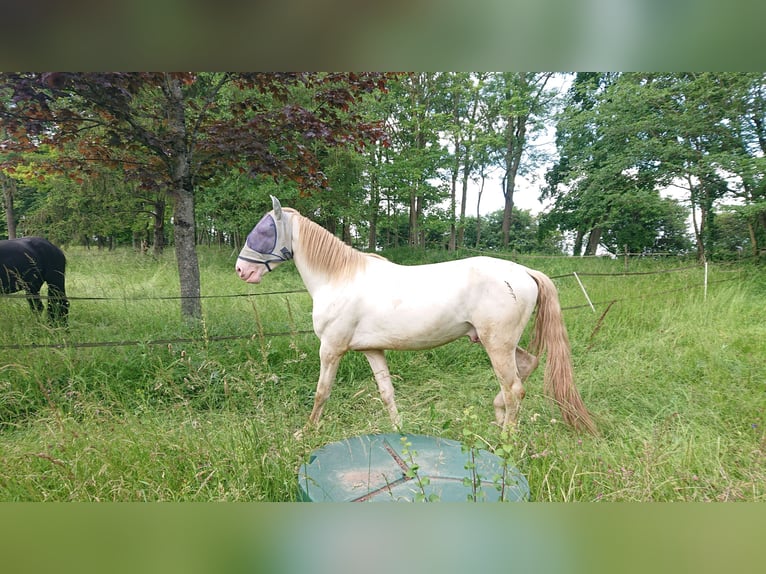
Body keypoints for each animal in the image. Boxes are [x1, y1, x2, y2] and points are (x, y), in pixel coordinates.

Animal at [237, 196, 596, 434]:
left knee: (515, 389)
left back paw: (506, 439)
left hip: (497, 344)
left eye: (263, 231)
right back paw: (497, 418)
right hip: (497, 343)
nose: (242, 270)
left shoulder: (331, 349)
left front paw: (306, 432)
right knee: (527, 367)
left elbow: (322, 392)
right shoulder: (372, 350)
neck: (339, 277)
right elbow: (386, 392)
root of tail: (523, 271)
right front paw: (399, 430)